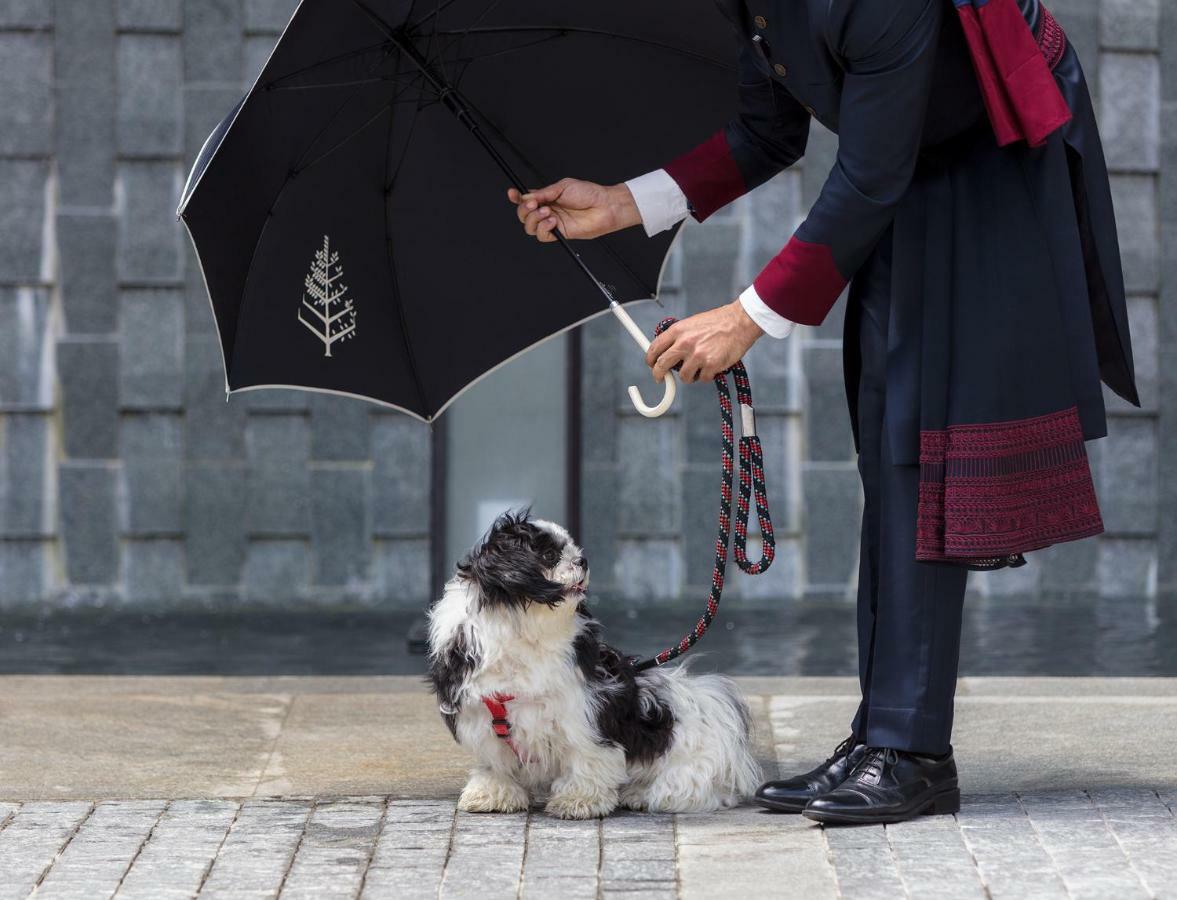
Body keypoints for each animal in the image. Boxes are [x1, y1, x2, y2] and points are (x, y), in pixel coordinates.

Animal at [428, 508, 757, 818]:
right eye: (549, 555)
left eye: (573, 549)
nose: (582, 560)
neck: (523, 628)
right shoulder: (480, 714)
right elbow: (495, 762)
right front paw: (494, 792)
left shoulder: (582, 709)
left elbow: (585, 755)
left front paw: (580, 799)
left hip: (685, 767)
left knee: (685, 790)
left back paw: (640, 794)